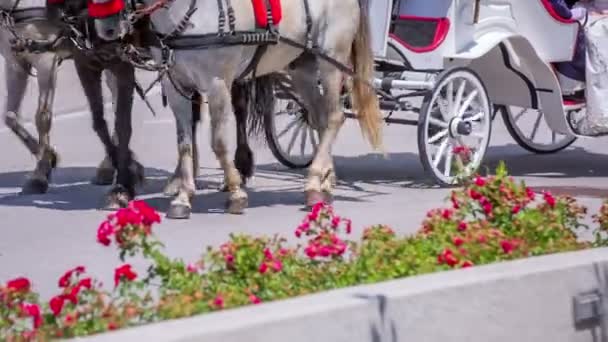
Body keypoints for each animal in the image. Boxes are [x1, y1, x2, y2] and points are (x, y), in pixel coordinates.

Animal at [89, 0, 384, 219]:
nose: (106, 28)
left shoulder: (217, 84)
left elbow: (219, 143)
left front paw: (235, 192)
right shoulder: (176, 87)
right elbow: (184, 145)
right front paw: (183, 197)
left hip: (332, 59)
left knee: (334, 117)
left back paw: (313, 182)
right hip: (302, 65)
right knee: (319, 118)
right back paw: (324, 181)